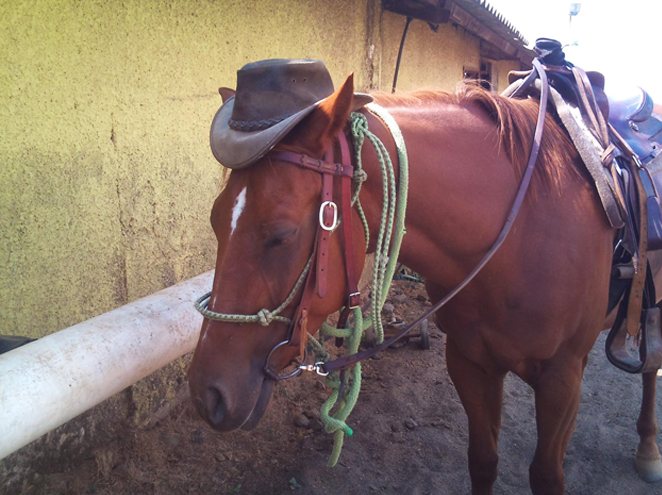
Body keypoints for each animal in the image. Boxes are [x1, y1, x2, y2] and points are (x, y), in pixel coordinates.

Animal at [188, 75, 662, 494]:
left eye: (281, 234)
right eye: (215, 219)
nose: (207, 395)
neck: (523, 228)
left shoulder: (561, 378)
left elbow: (547, 475)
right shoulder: (470, 361)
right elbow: (483, 461)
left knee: (650, 366)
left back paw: (648, 448)